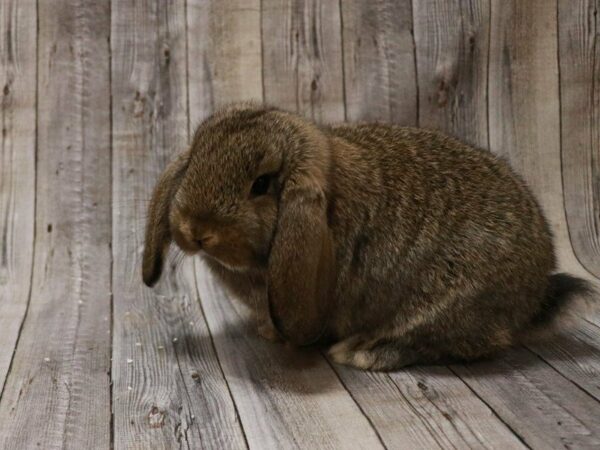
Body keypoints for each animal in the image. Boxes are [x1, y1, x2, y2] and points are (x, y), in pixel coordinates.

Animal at [142, 103, 592, 370]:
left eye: (262, 184)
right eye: (194, 159)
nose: (195, 231)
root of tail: (536, 293)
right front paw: (269, 332)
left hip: (447, 302)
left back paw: (362, 352)